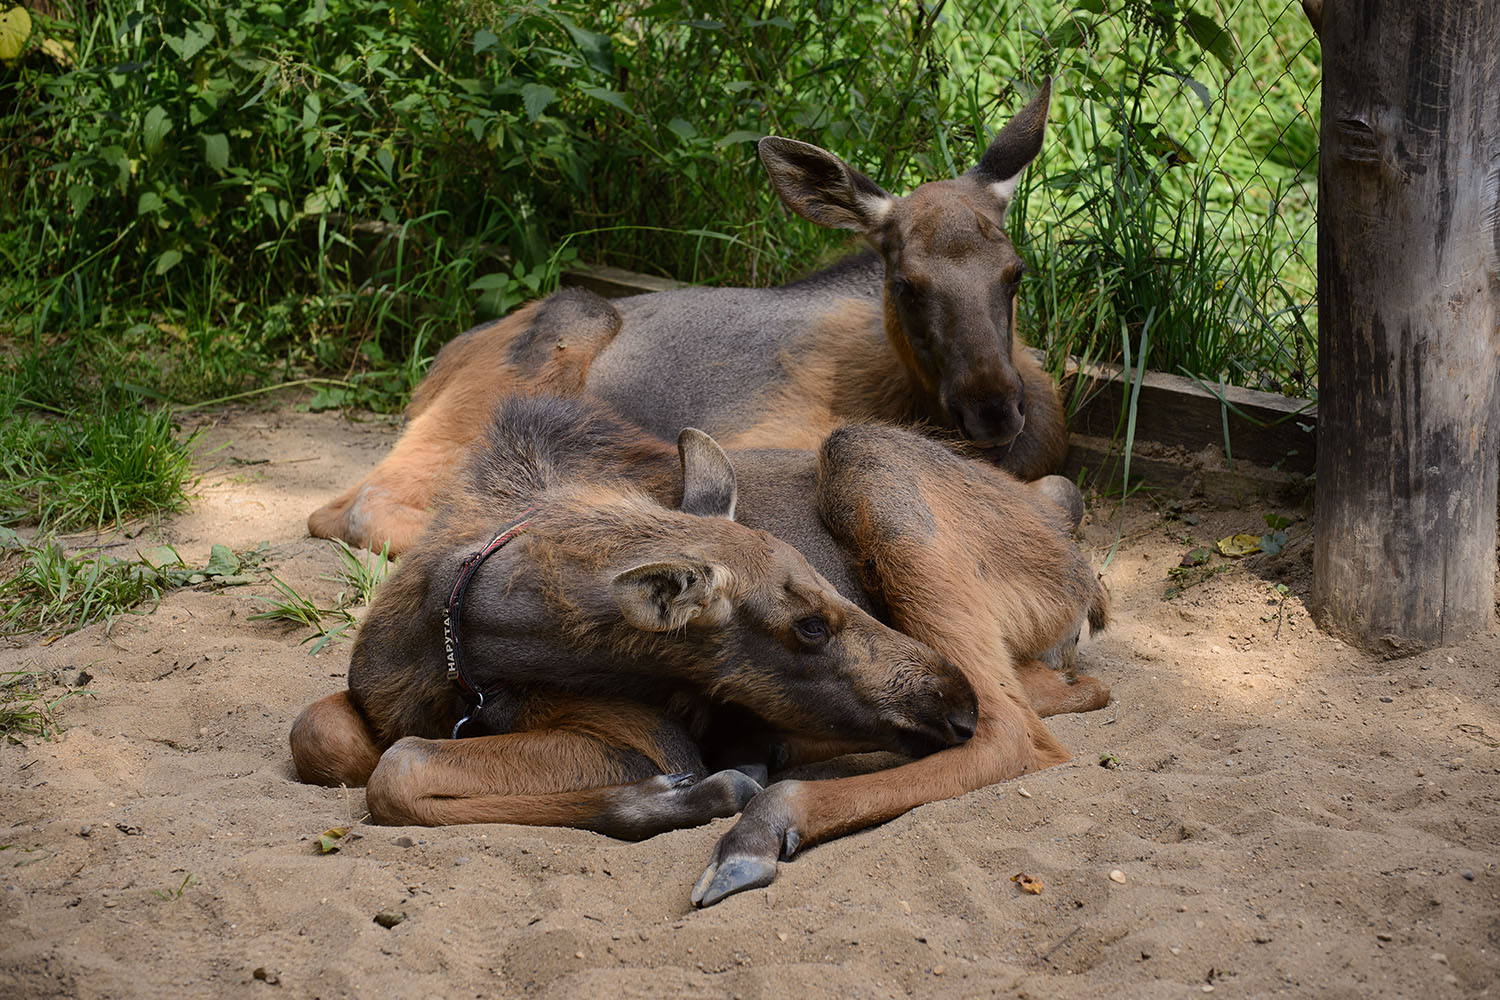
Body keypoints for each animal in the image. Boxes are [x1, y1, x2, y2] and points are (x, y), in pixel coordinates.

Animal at [292, 395, 1116, 905]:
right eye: (809, 624)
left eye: (837, 593)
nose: (950, 701)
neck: (458, 642)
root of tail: (1078, 562)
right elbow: (326, 735)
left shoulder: (648, 736)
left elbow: (398, 768)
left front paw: (696, 794)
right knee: (1050, 693)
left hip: (868, 459)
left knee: (1016, 732)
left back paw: (759, 823)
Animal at [304, 82, 1062, 560]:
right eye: (906, 284)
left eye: (1016, 273)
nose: (993, 409)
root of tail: (438, 366)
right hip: (560, 328)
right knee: (365, 502)